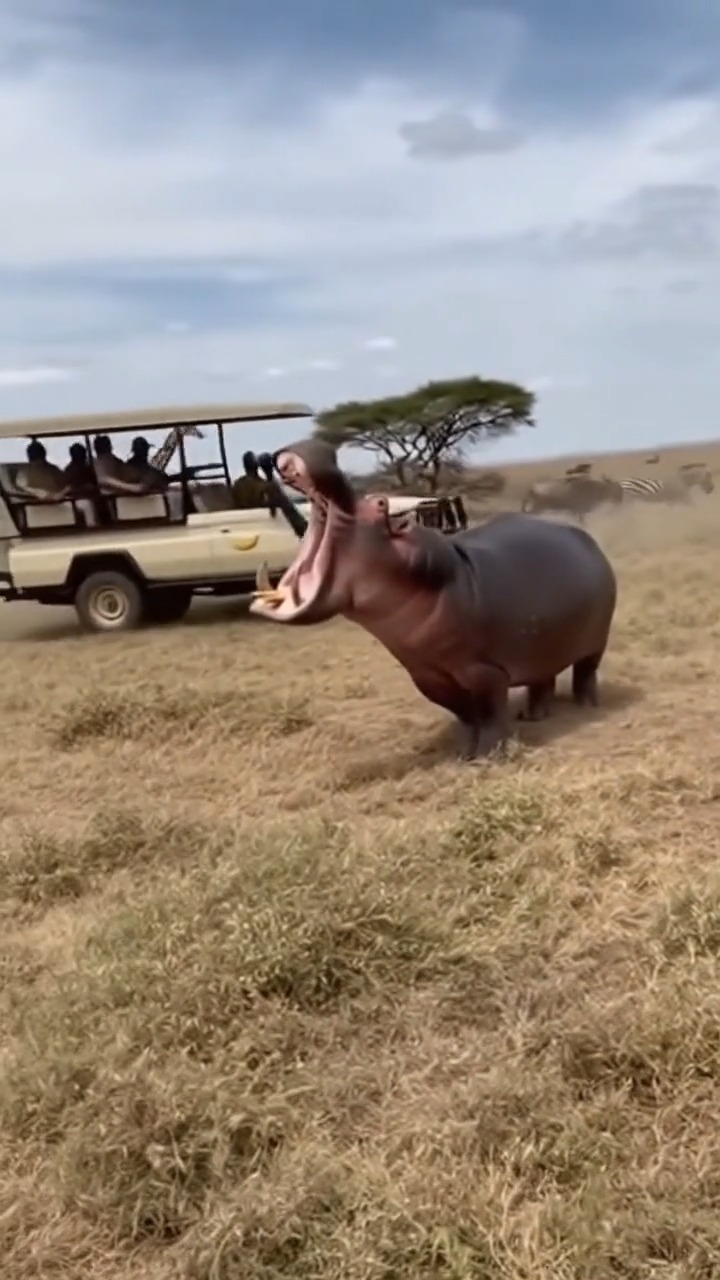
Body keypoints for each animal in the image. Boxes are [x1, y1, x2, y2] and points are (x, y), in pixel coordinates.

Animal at [250, 440, 618, 759]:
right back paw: (535, 716)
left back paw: (587, 706)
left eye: (380, 503)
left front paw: (488, 755)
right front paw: (463, 753)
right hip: (543, 642)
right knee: (543, 678)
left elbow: (488, 712)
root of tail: (586, 539)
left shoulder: (485, 671)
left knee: (586, 671)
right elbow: (464, 713)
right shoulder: (427, 675)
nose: (323, 447)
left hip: (597, 639)